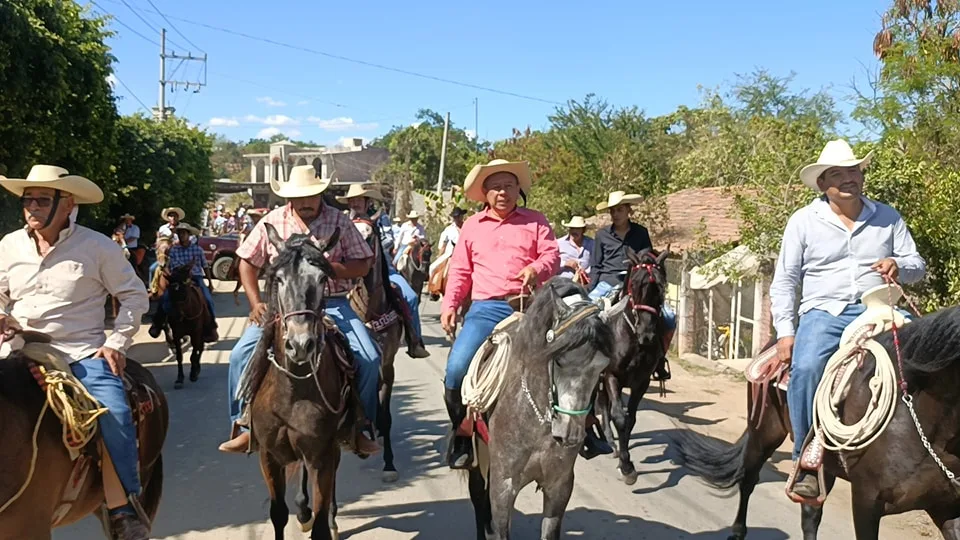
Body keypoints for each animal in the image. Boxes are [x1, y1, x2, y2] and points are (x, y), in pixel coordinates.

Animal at [240, 221, 360, 536]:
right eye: (278, 279)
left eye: (322, 278)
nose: (300, 344)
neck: (293, 390)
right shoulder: (268, 456)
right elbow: (278, 514)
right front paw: (300, 511)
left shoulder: (321, 454)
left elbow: (320, 522)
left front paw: (322, 519)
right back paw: (303, 509)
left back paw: (329, 517)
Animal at [466, 278, 616, 540]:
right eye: (559, 359)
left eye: (602, 367)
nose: (569, 433)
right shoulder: (503, 486)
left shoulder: (559, 486)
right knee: (477, 495)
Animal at [592, 247, 668, 484]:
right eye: (634, 284)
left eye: (662, 286)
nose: (647, 334)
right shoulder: (611, 376)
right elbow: (619, 417)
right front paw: (626, 467)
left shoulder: (641, 382)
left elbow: (631, 419)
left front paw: (625, 461)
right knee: (603, 406)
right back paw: (609, 441)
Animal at [668, 302, 960, 536]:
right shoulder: (866, 502)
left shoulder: (947, 508)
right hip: (763, 434)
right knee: (749, 480)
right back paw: (737, 531)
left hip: (822, 466)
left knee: (810, 513)